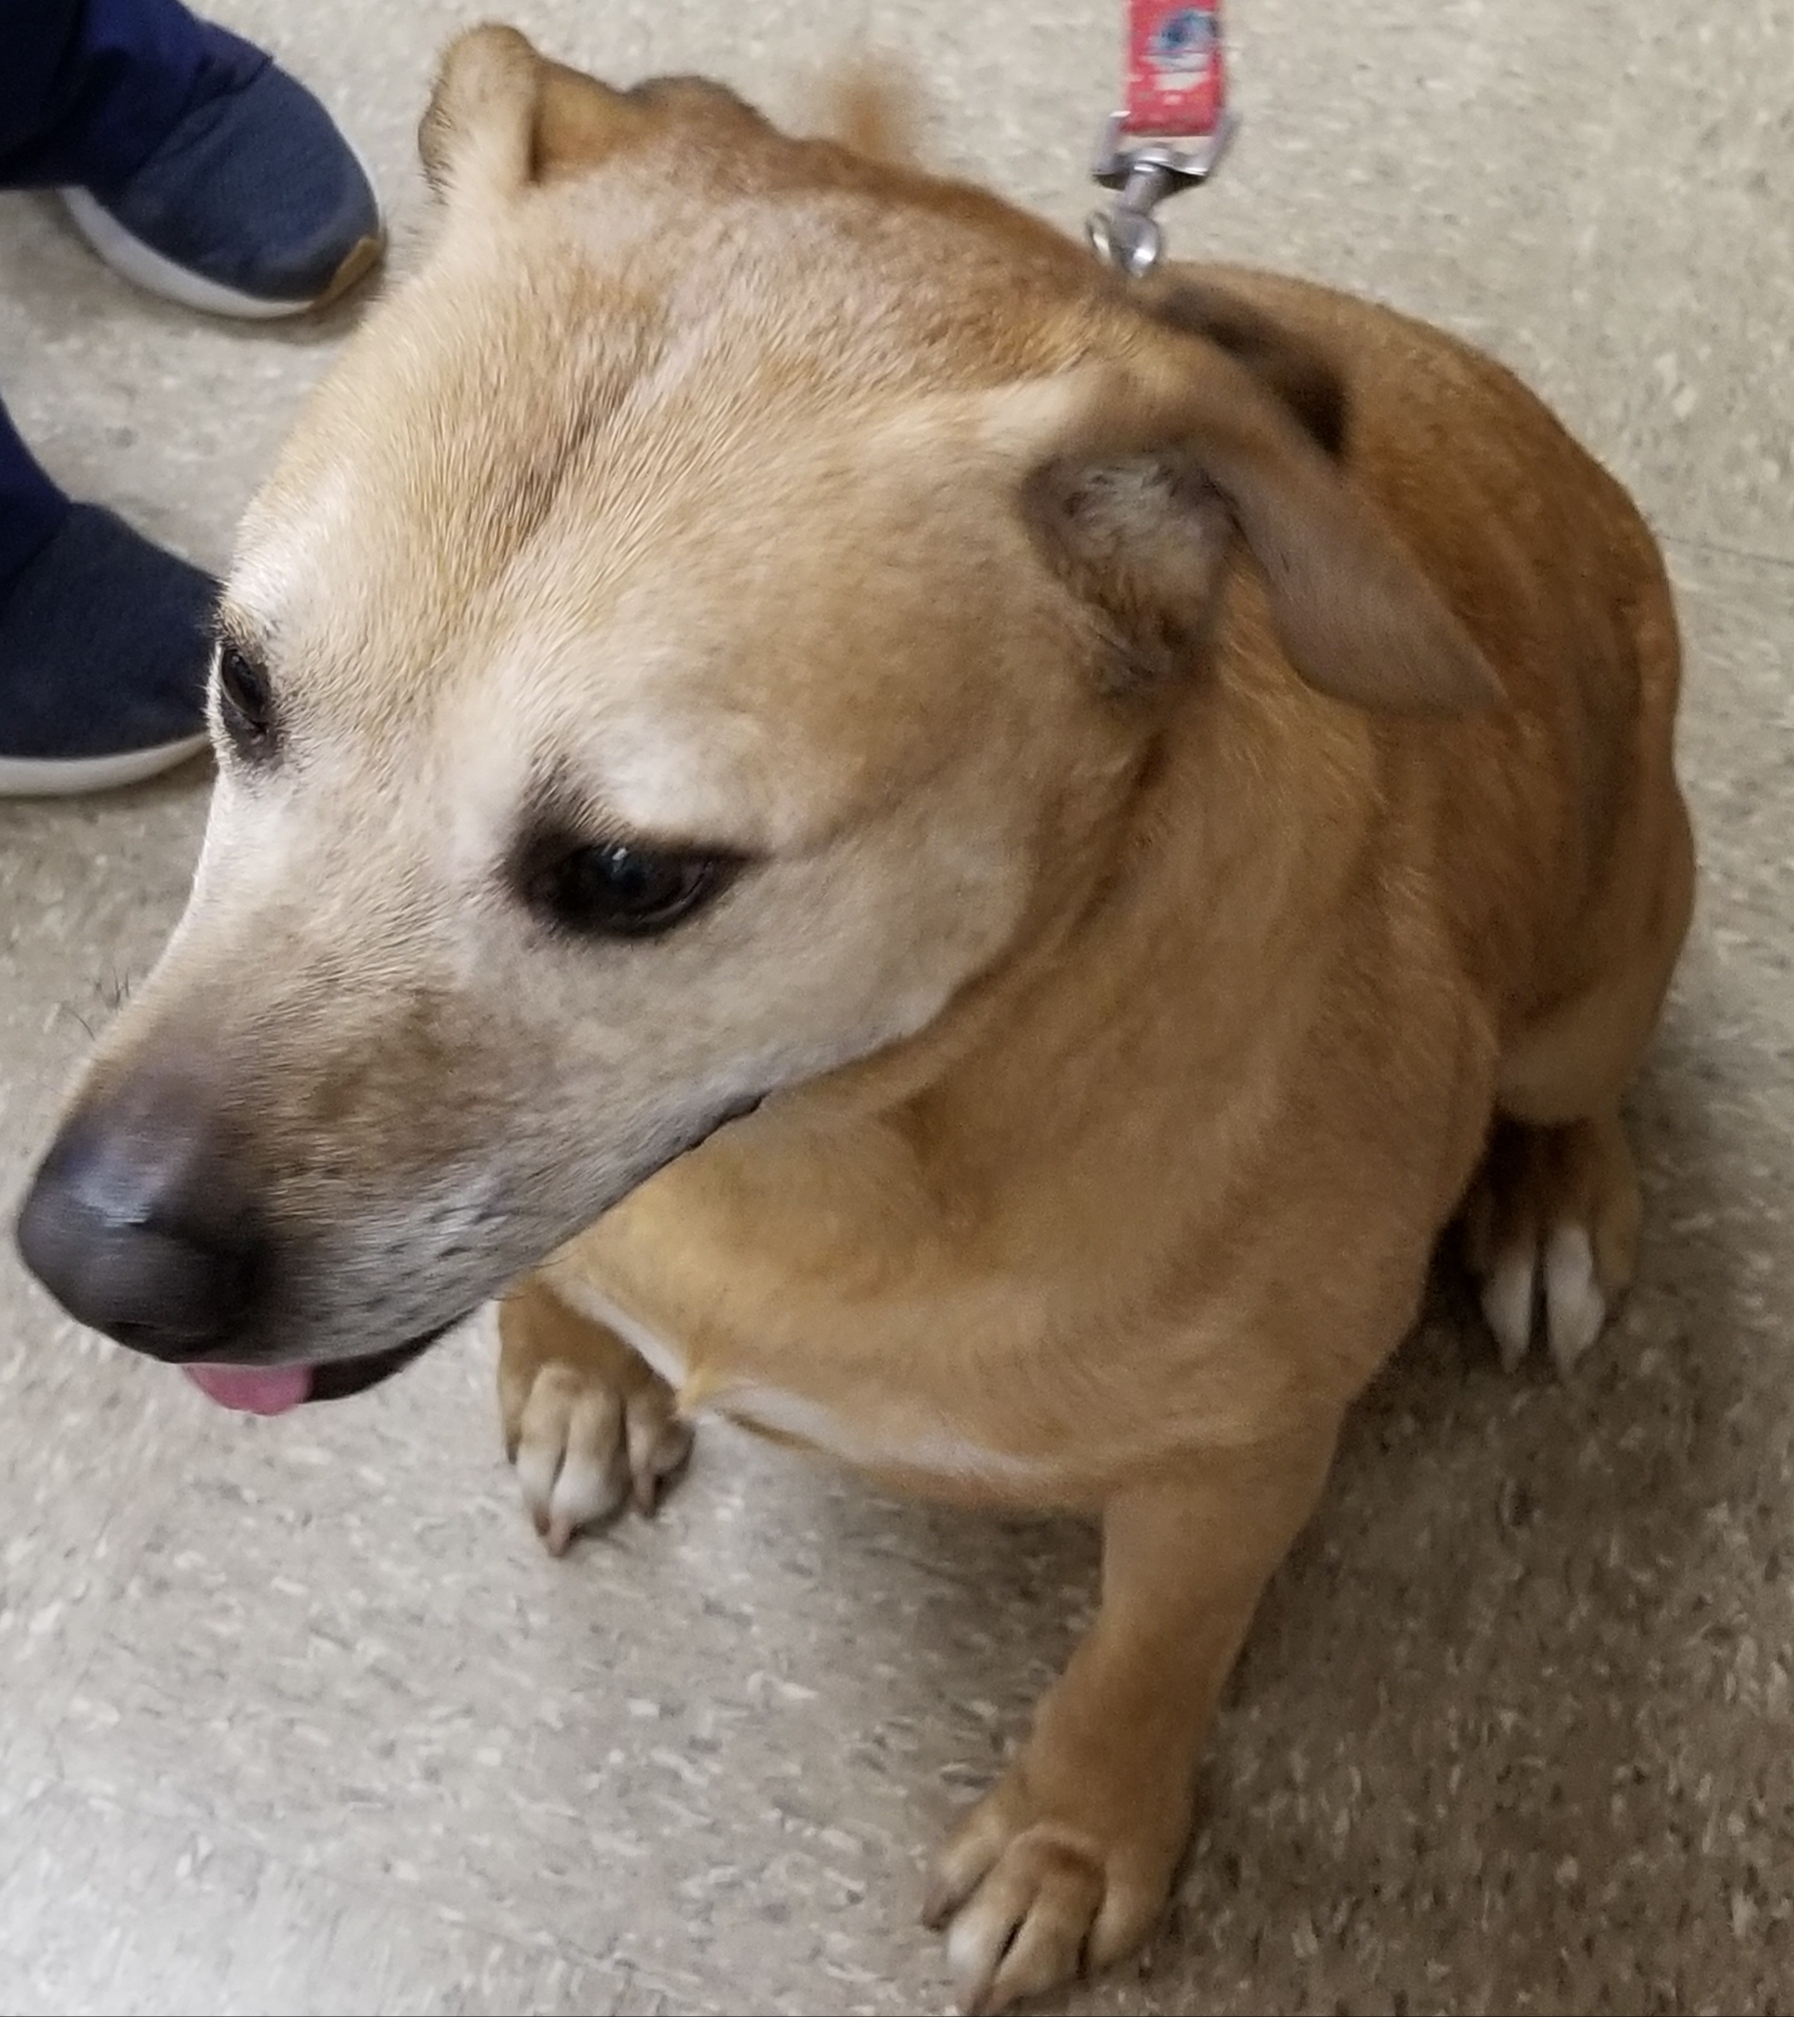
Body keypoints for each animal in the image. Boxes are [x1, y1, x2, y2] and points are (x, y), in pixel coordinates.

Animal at [17, 23, 1695, 2008]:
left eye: (631, 874)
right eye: (243, 685)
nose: (88, 1265)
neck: (852, 1136)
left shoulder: (1232, 1475)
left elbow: (1140, 1669)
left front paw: (1070, 1838)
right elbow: (549, 1279)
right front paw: (571, 1365)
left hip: (1599, 963)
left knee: (1577, 1088)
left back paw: (1551, 1204)